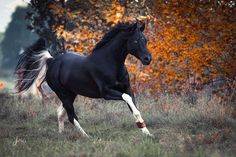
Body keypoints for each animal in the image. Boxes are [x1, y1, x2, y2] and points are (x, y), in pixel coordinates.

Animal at [16, 22, 153, 137]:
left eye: (145, 40)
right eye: (135, 41)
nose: (147, 59)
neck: (110, 63)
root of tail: (52, 61)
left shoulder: (127, 88)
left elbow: (134, 107)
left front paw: (146, 132)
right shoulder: (106, 93)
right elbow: (127, 98)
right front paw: (142, 126)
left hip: (71, 94)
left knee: (60, 112)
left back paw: (61, 134)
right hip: (63, 94)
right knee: (71, 116)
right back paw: (86, 136)